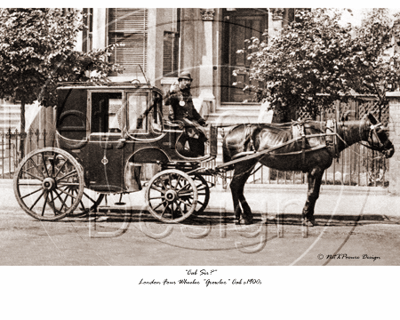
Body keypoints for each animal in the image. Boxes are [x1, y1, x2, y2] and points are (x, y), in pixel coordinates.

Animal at [223, 114, 396, 226]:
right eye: (380, 132)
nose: (391, 149)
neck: (326, 136)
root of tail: (231, 131)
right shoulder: (315, 170)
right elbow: (312, 193)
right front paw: (307, 218)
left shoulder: (316, 171)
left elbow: (315, 193)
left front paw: (309, 216)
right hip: (243, 164)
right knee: (235, 186)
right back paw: (239, 217)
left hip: (248, 164)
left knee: (239, 187)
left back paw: (247, 215)